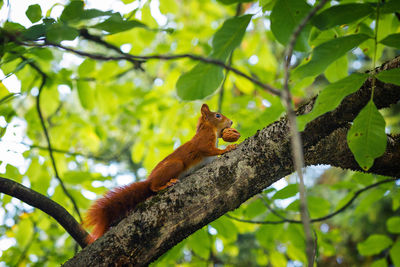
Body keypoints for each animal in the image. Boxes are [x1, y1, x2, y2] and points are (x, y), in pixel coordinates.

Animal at [85, 104, 239, 245]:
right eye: (217, 115)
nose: (231, 122)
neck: (210, 130)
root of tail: (149, 180)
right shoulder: (203, 141)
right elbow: (209, 149)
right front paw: (227, 148)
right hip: (175, 165)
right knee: (153, 187)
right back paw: (165, 185)